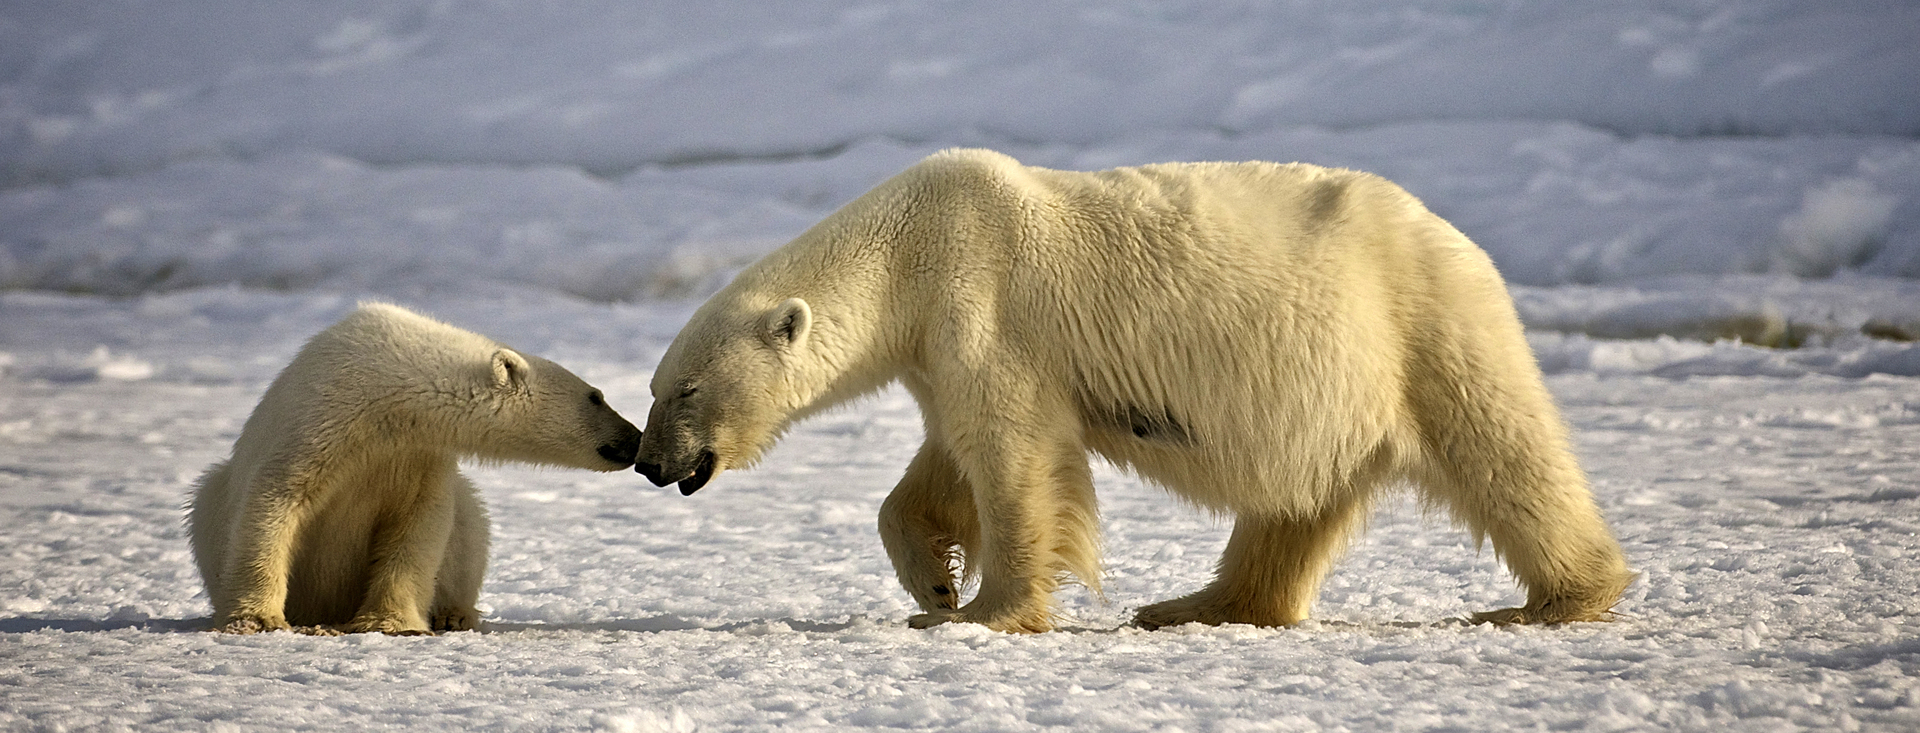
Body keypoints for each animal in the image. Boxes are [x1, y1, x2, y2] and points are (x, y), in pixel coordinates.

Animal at [188, 302, 642, 635]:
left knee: (470, 522)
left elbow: (419, 523)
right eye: (596, 396)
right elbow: (277, 497)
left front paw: (392, 623)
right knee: (207, 498)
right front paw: (257, 619)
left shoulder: (417, 453)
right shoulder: (321, 420)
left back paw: (453, 614)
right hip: (217, 500)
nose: (635, 438)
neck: (391, 388)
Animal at [634, 148, 1633, 633]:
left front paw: (985, 611)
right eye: (656, 385)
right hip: (1337, 388)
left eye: (683, 389)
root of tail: (1457, 238)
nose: (648, 462)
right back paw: (1196, 604)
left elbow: (1016, 458)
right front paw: (937, 584)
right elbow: (943, 460)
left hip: (1418, 325)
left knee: (1505, 449)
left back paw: (1553, 598)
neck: (909, 248)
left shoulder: (984, 302)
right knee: (1294, 504)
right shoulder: (938, 347)